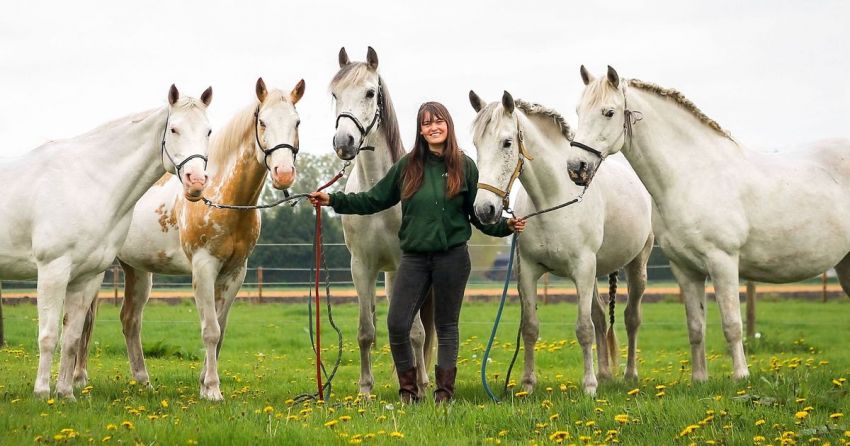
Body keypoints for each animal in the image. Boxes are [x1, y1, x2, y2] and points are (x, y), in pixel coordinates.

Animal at [0, 85, 212, 400]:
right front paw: (41, 392)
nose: (196, 181)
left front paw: (66, 393)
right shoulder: (53, 269)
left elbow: (72, 336)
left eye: (209, 131)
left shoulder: (87, 276)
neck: (88, 183)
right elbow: (48, 335)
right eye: (174, 129)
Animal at [74, 78, 304, 401]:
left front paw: (204, 383)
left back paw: (143, 381)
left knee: (130, 320)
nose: (283, 173)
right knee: (86, 320)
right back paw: (79, 380)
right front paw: (213, 390)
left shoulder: (235, 273)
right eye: (263, 122)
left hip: (138, 270)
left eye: (297, 122)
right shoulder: (204, 268)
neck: (224, 198)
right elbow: (210, 330)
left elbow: (221, 329)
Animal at [330, 47, 435, 396]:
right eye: (334, 94)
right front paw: (365, 388)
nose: (344, 142)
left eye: (369, 92)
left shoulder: (407, 264)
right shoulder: (361, 267)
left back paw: (422, 379)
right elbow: (366, 331)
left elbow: (416, 331)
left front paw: (418, 385)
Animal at [469, 90, 654, 395]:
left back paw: (628, 375)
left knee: (631, 318)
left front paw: (589, 386)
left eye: (507, 142)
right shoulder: (528, 271)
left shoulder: (582, 269)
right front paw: (528, 384)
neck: (554, 200)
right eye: (476, 144)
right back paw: (605, 374)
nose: (485, 210)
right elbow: (530, 327)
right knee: (601, 316)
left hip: (635, 265)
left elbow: (584, 328)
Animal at [566, 65, 850, 383]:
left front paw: (741, 376)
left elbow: (731, 323)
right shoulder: (685, 269)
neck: (694, 176)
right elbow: (696, 326)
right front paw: (700, 379)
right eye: (578, 111)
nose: (576, 167)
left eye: (609, 112)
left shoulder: (723, 262)